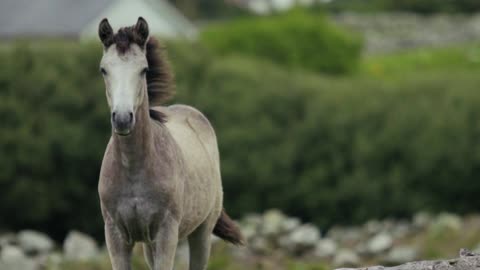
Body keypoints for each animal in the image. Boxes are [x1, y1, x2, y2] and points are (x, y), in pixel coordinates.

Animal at [96, 17, 244, 270]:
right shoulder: (115, 236)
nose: (123, 119)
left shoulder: (166, 234)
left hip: (201, 233)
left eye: (144, 70)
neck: (134, 170)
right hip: (148, 245)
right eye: (104, 69)